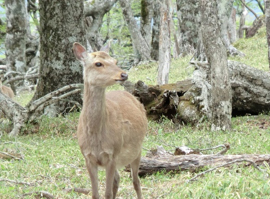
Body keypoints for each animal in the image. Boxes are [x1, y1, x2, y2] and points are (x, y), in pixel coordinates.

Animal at [72, 42, 148, 199]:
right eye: (98, 63)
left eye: (115, 61)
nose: (124, 74)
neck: (95, 136)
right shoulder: (87, 156)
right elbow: (96, 194)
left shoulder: (113, 153)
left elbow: (107, 193)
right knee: (118, 179)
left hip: (137, 149)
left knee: (136, 181)